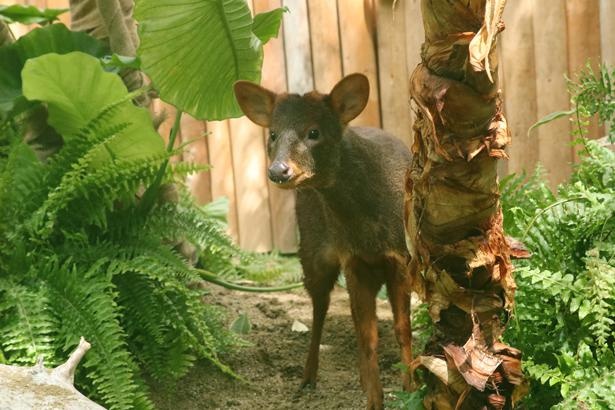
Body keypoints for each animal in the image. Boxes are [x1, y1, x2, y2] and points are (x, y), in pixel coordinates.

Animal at [236, 74, 414, 410]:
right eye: (273, 134)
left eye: (314, 132)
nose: (278, 170)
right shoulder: (352, 258)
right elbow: (368, 336)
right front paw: (375, 401)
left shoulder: (400, 256)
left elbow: (401, 328)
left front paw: (411, 388)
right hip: (312, 250)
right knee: (320, 309)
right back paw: (307, 378)